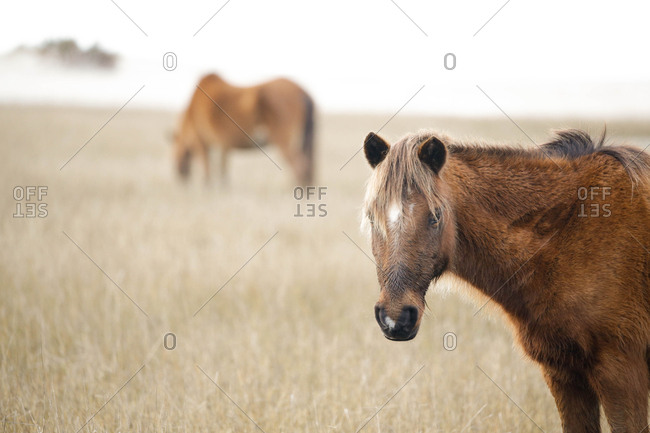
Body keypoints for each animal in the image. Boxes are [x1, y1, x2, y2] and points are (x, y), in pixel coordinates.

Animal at [173, 73, 315, 185]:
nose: (180, 176)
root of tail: (301, 90)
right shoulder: (224, 146)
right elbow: (223, 171)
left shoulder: (202, 143)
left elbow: (210, 171)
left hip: (283, 140)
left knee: (300, 167)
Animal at [361, 129, 650, 432]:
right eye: (372, 218)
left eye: (435, 216)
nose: (395, 318)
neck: (571, 228)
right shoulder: (564, 375)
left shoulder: (621, 373)